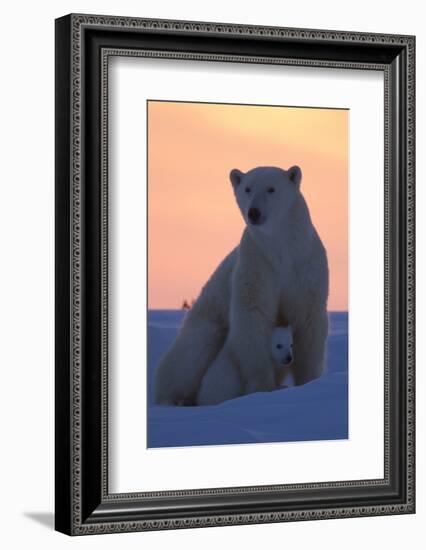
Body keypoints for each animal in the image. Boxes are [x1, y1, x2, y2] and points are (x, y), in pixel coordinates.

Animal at [154, 166, 330, 408]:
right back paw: (171, 399)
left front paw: (309, 383)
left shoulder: (305, 267)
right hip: (207, 321)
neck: (282, 249)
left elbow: (308, 321)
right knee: (190, 357)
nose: (253, 212)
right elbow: (252, 319)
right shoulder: (257, 263)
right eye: (247, 188)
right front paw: (262, 389)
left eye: (271, 188)